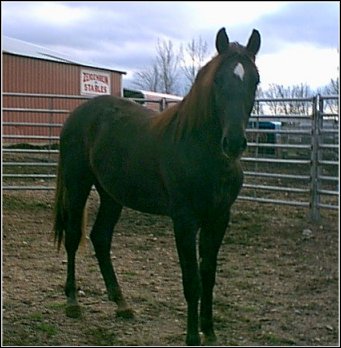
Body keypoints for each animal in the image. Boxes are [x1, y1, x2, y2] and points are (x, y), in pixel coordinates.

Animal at [53, 27, 260, 346]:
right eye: (218, 80)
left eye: (255, 80)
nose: (234, 143)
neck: (200, 149)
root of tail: (78, 115)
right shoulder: (184, 220)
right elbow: (192, 280)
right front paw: (192, 337)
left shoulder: (219, 218)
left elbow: (209, 276)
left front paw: (210, 332)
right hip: (78, 185)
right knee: (75, 237)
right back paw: (73, 302)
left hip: (111, 195)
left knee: (100, 238)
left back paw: (122, 304)